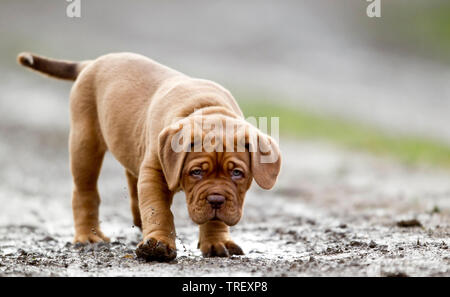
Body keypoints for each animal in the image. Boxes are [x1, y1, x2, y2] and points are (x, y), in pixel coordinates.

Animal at [17, 52, 282, 260]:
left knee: (133, 185)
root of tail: (93, 63)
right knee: (85, 192)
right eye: (196, 172)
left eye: (237, 173)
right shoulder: (155, 173)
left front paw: (217, 241)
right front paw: (158, 244)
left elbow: (212, 217)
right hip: (85, 144)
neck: (207, 109)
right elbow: (158, 209)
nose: (216, 200)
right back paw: (88, 235)